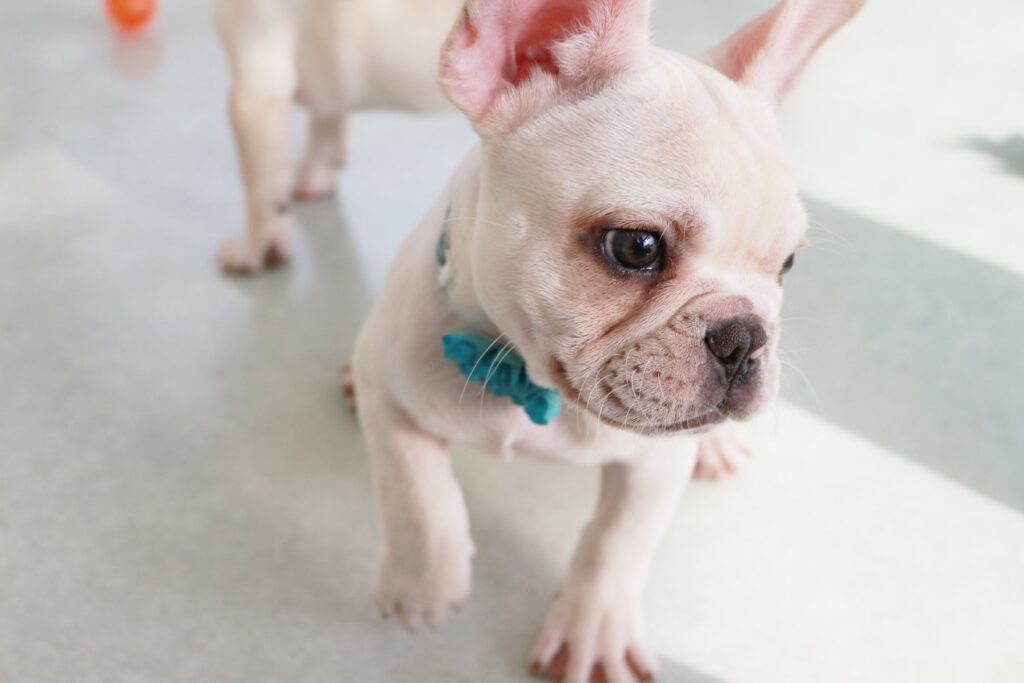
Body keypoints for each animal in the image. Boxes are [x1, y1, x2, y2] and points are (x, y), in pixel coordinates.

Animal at [348, 0, 864, 681]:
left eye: (787, 266)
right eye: (636, 246)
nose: (744, 335)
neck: (529, 384)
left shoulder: (656, 460)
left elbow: (618, 538)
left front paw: (592, 631)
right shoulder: (391, 386)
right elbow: (414, 492)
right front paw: (423, 585)